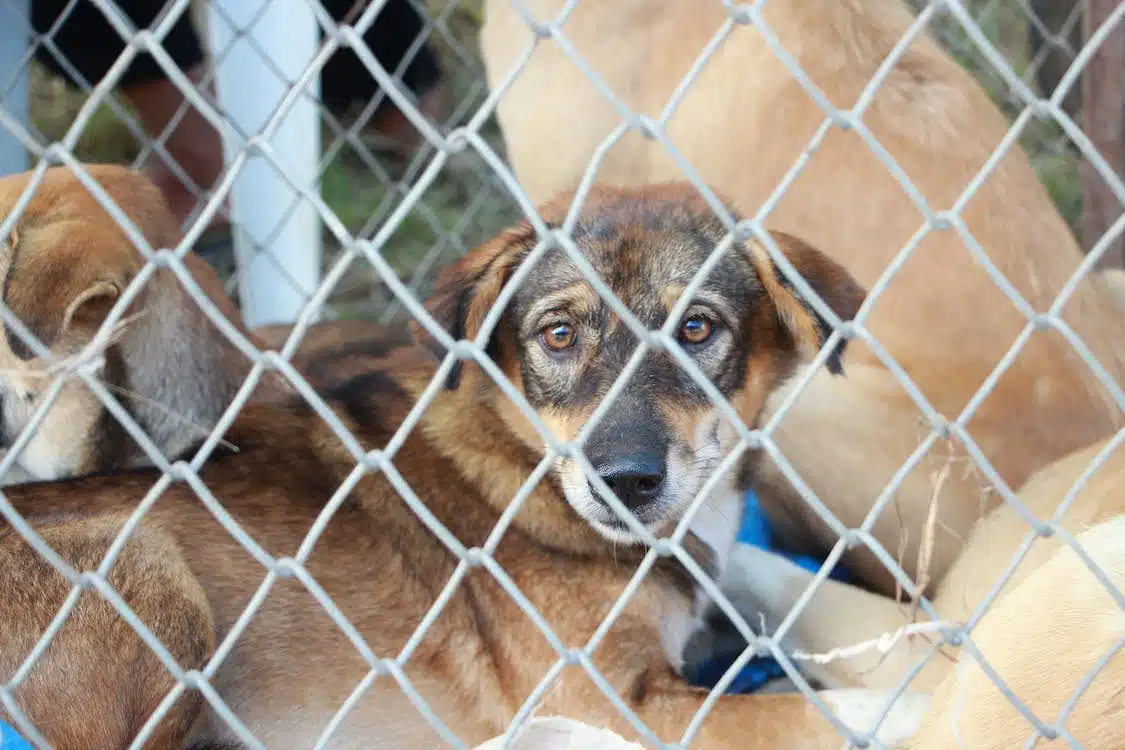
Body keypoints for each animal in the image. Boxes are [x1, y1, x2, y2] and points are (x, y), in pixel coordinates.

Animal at [0, 183, 931, 750]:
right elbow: (808, 712)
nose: (625, 480)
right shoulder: (616, 701)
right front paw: (922, 694)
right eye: (559, 334)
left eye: (697, 328)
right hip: (145, 568)